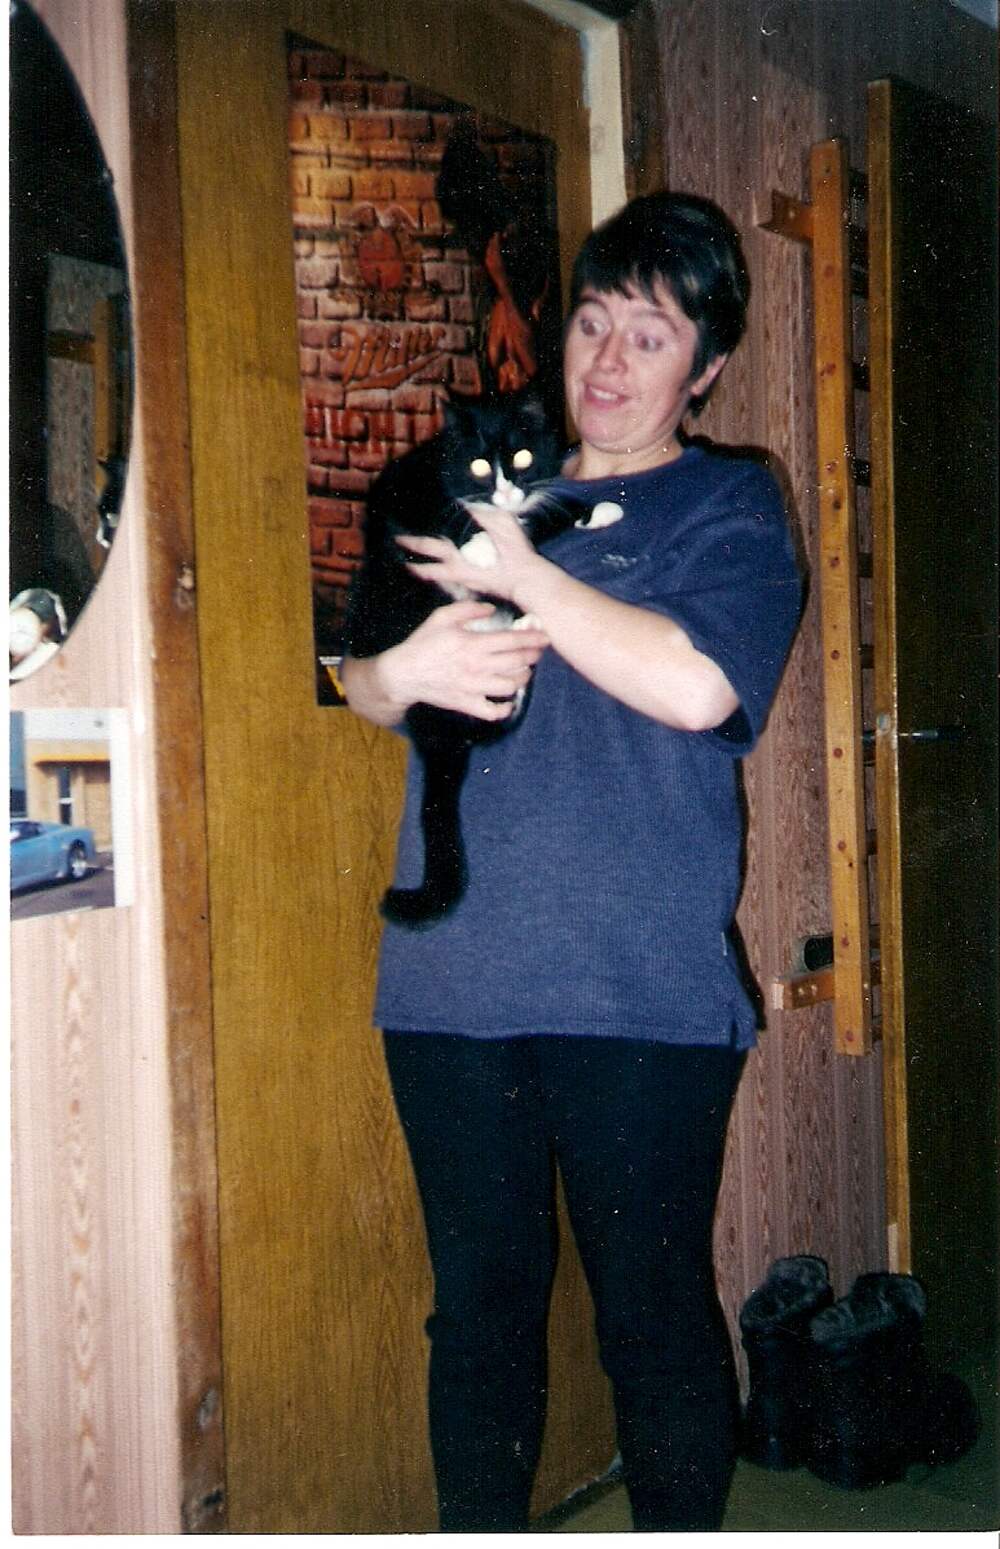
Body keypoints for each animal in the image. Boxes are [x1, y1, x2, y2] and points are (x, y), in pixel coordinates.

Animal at [343, 391, 622, 929]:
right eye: (477, 465)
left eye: (522, 457)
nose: (505, 493)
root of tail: (436, 734)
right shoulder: (395, 491)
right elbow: (444, 518)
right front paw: (477, 546)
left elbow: (538, 516)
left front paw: (597, 510)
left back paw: (528, 627)